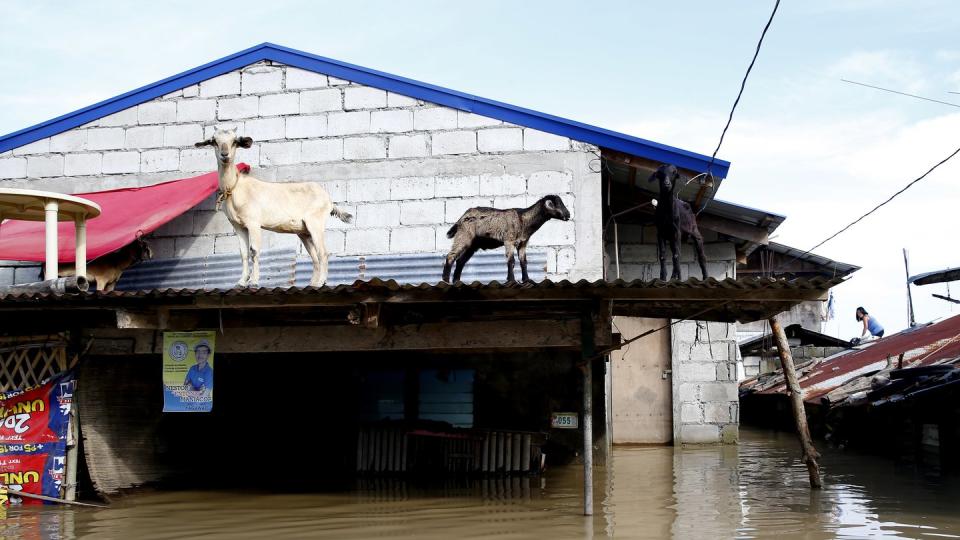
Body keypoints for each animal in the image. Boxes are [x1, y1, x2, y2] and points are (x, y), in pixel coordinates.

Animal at [195, 130, 352, 286]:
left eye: (234, 141)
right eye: (214, 141)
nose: (225, 154)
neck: (234, 187)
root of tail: (329, 200)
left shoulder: (253, 222)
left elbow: (254, 251)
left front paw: (254, 281)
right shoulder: (238, 225)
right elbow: (243, 253)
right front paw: (241, 281)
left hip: (316, 222)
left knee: (323, 253)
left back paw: (320, 282)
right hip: (304, 231)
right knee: (314, 256)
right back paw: (313, 283)